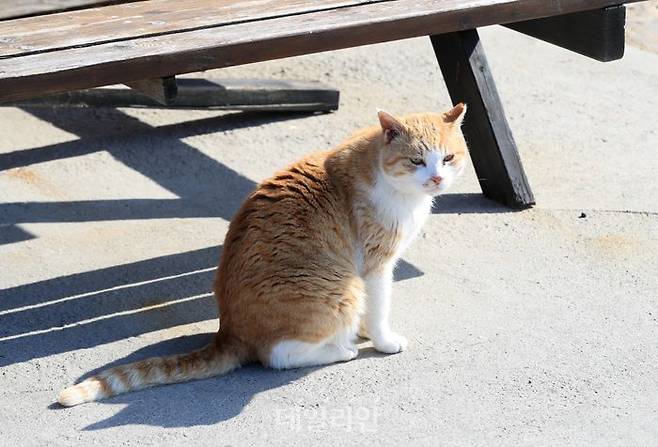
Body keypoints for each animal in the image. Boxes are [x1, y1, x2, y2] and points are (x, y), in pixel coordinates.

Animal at [56, 103, 466, 408]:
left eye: (447, 158)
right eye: (416, 161)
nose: (436, 179)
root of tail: (229, 331)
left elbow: (372, 310)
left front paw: (366, 330)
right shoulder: (376, 264)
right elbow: (379, 308)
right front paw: (382, 341)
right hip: (339, 290)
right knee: (277, 356)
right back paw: (340, 349)